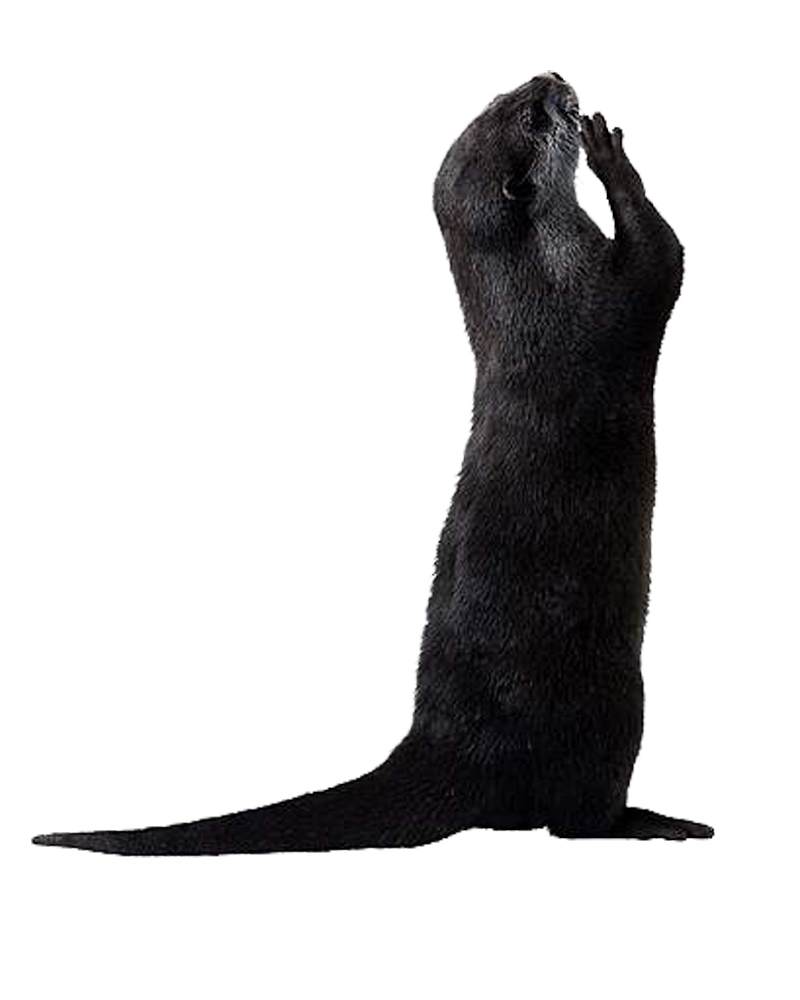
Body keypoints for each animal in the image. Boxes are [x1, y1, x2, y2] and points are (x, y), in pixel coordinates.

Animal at [32, 70, 713, 855]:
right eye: (530, 116)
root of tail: (445, 747)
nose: (551, 77)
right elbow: (665, 255)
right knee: (571, 821)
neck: (540, 284)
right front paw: (609, 154)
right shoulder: (611, 298)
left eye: (500, 95)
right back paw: (656, 822)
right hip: (612, 707)